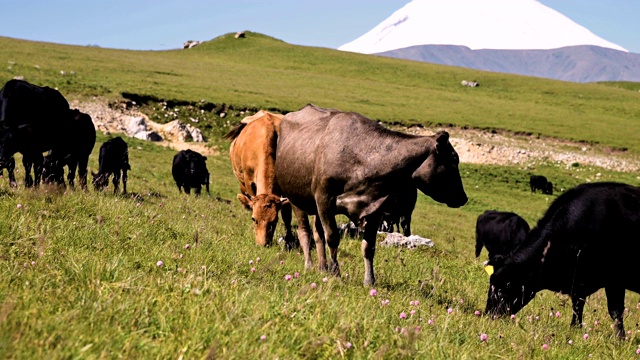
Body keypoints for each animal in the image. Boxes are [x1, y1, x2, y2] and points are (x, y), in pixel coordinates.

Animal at [224, 111, 296, 249]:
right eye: (254, 219)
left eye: (274, 220)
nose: (262, 245)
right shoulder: (249, 181)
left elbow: (287, 214)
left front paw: (289, 239)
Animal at [272, 105, 468, 286]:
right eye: (452, 161)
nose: (464, 198)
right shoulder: (324, 199)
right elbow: (333, 238)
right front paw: (336, 274)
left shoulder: (375, 208)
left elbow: (368, 246)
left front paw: (369, 280)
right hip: (296, 198)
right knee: (305, 232)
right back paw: (310, 265)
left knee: (318, 233)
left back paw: (322, 267)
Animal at [484, 181, 640, 338]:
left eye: (504, 288)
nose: (489, 315)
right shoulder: (579, 283)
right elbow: (577, 307)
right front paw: (575, 329)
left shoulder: (615, 280)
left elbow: (615, 311)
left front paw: (620, 338)